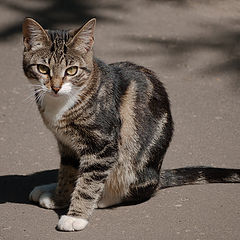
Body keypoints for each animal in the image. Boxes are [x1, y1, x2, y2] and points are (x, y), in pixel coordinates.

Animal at [21, 17, 239, 232]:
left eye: (72, 70)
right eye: (43, 69)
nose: (55, 87)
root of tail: (158, 175)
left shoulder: (103, 146)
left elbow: (89, 182)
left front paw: (76, 216)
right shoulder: (66, 144)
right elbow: (68, 171)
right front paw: (60, 197)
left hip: (134, 167)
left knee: (134, 189)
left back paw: (102, 198)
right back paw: (49, 189)